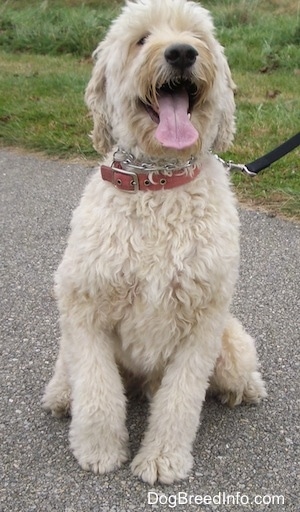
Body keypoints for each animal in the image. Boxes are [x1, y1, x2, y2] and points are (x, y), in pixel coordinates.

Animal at [42, 0, 268, 484]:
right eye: (141, 39)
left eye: (197, 35)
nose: (182, 52)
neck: (158, 183)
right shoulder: (84, 307)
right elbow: (97, 392)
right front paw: (99, 449)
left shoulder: (203, 324)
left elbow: (180, 401)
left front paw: (163, 458)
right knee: (71, 372)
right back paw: (61, 393)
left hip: (232, 344)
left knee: (236, 373)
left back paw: (243, 390)